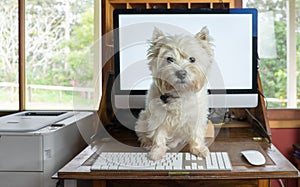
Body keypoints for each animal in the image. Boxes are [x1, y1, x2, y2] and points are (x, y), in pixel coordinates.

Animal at [135, 26, 214, 161]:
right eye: (169, 59)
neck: (180, 92)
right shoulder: (158, 116)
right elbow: (158, 135)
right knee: (142, 132)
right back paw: (147, 143)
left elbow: (197, 133)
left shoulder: (197, 116)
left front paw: (198, 149)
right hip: (143, 117)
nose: (181, 73)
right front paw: (157, 152)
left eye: (192, 59)